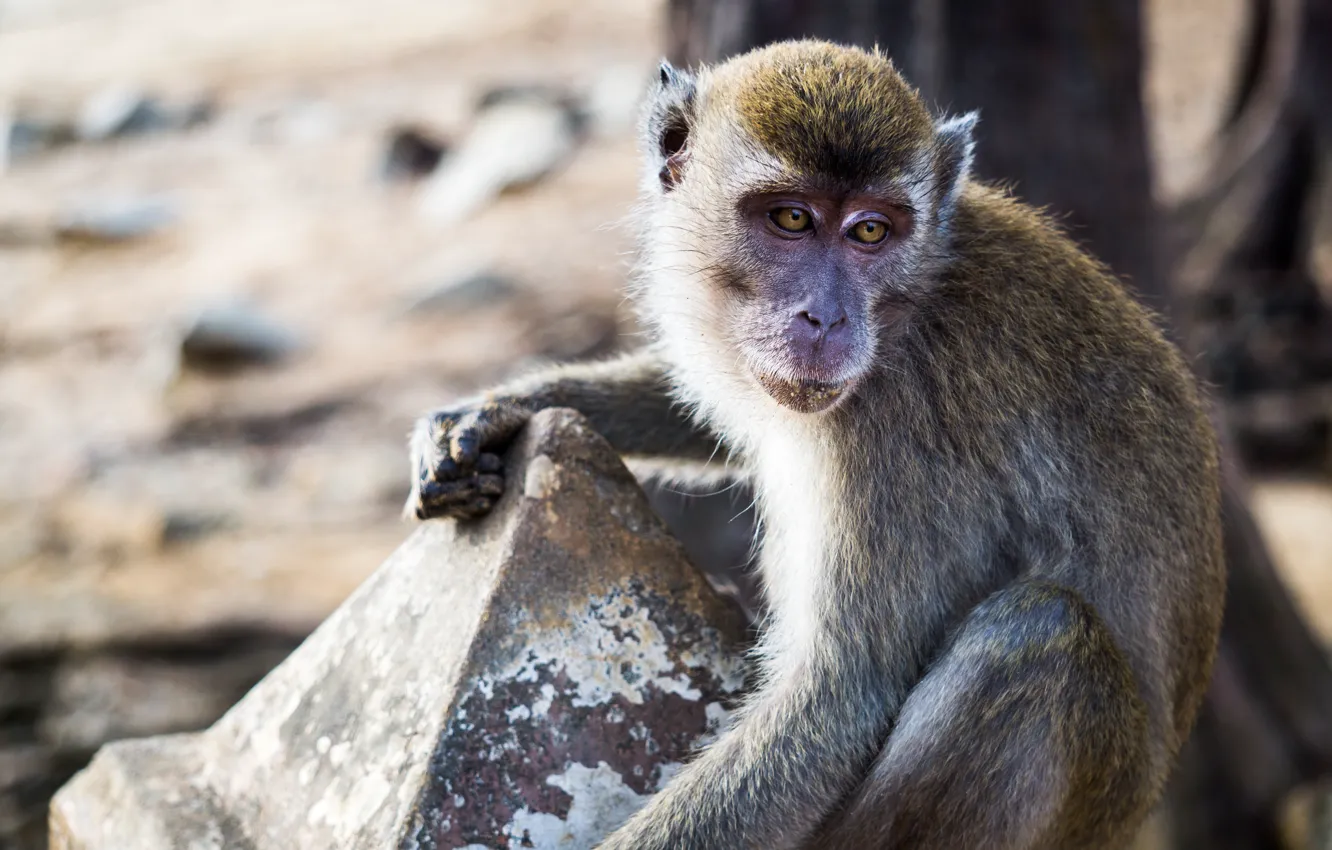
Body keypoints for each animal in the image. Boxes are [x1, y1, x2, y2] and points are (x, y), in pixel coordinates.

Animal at [405, 41, 1225, 850]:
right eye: (793, 219)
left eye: (870, 231)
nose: (827, 320)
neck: (906, 310)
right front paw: (501, 409)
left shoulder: (898, 432)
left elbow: (839, 699)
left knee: (1041, 634)